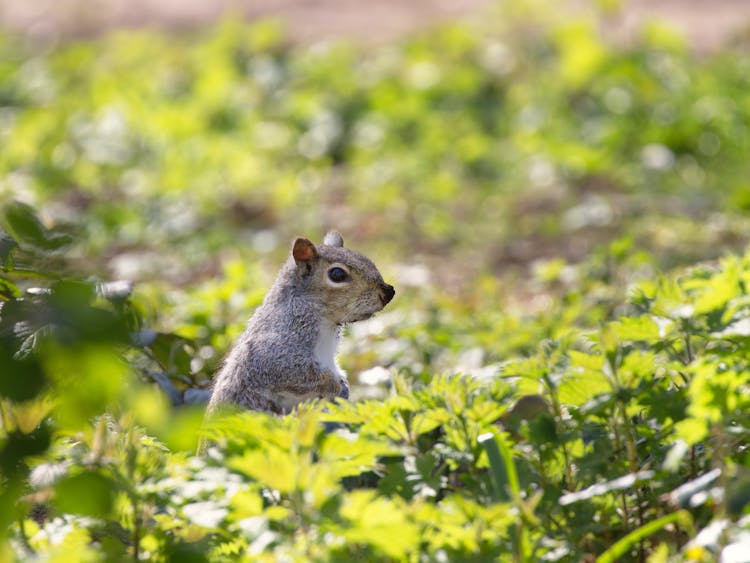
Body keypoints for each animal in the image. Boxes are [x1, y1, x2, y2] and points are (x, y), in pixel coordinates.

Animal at [206, 231, 394, 416]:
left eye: (368, 260)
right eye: (337, 274)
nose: (389, 292)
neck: (327, 322)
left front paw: (344, 386)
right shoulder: (273, 353)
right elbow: (298, 372)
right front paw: (335, 386)